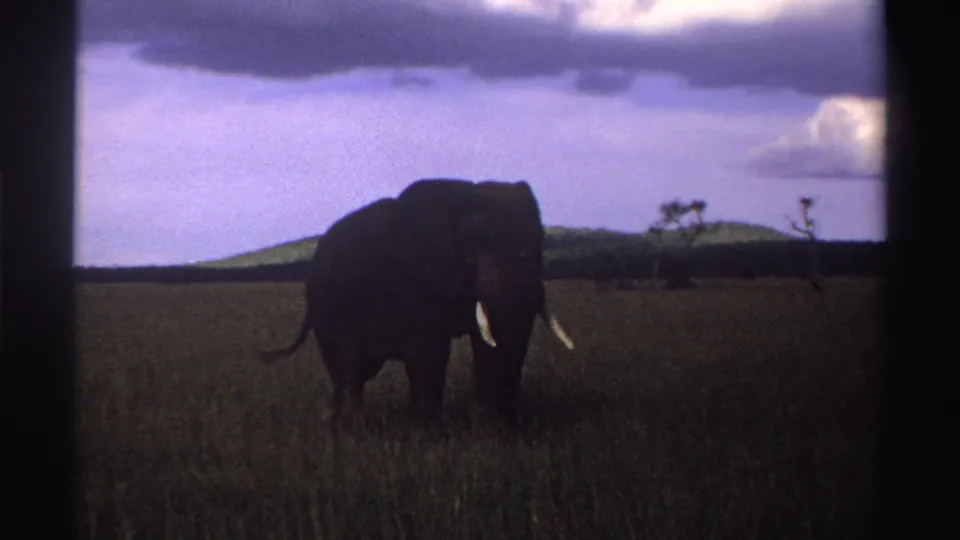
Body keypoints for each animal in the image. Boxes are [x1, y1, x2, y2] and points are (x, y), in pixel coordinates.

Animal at [260, 178, 575, 427]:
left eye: (541, 244)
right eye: (471, 252)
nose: (513, 424)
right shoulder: (412, 284)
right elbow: (429, 354)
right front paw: (430, 432)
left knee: (358, 370)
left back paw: (331, 422)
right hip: (328, 305)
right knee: (348, 365)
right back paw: (355, 428)